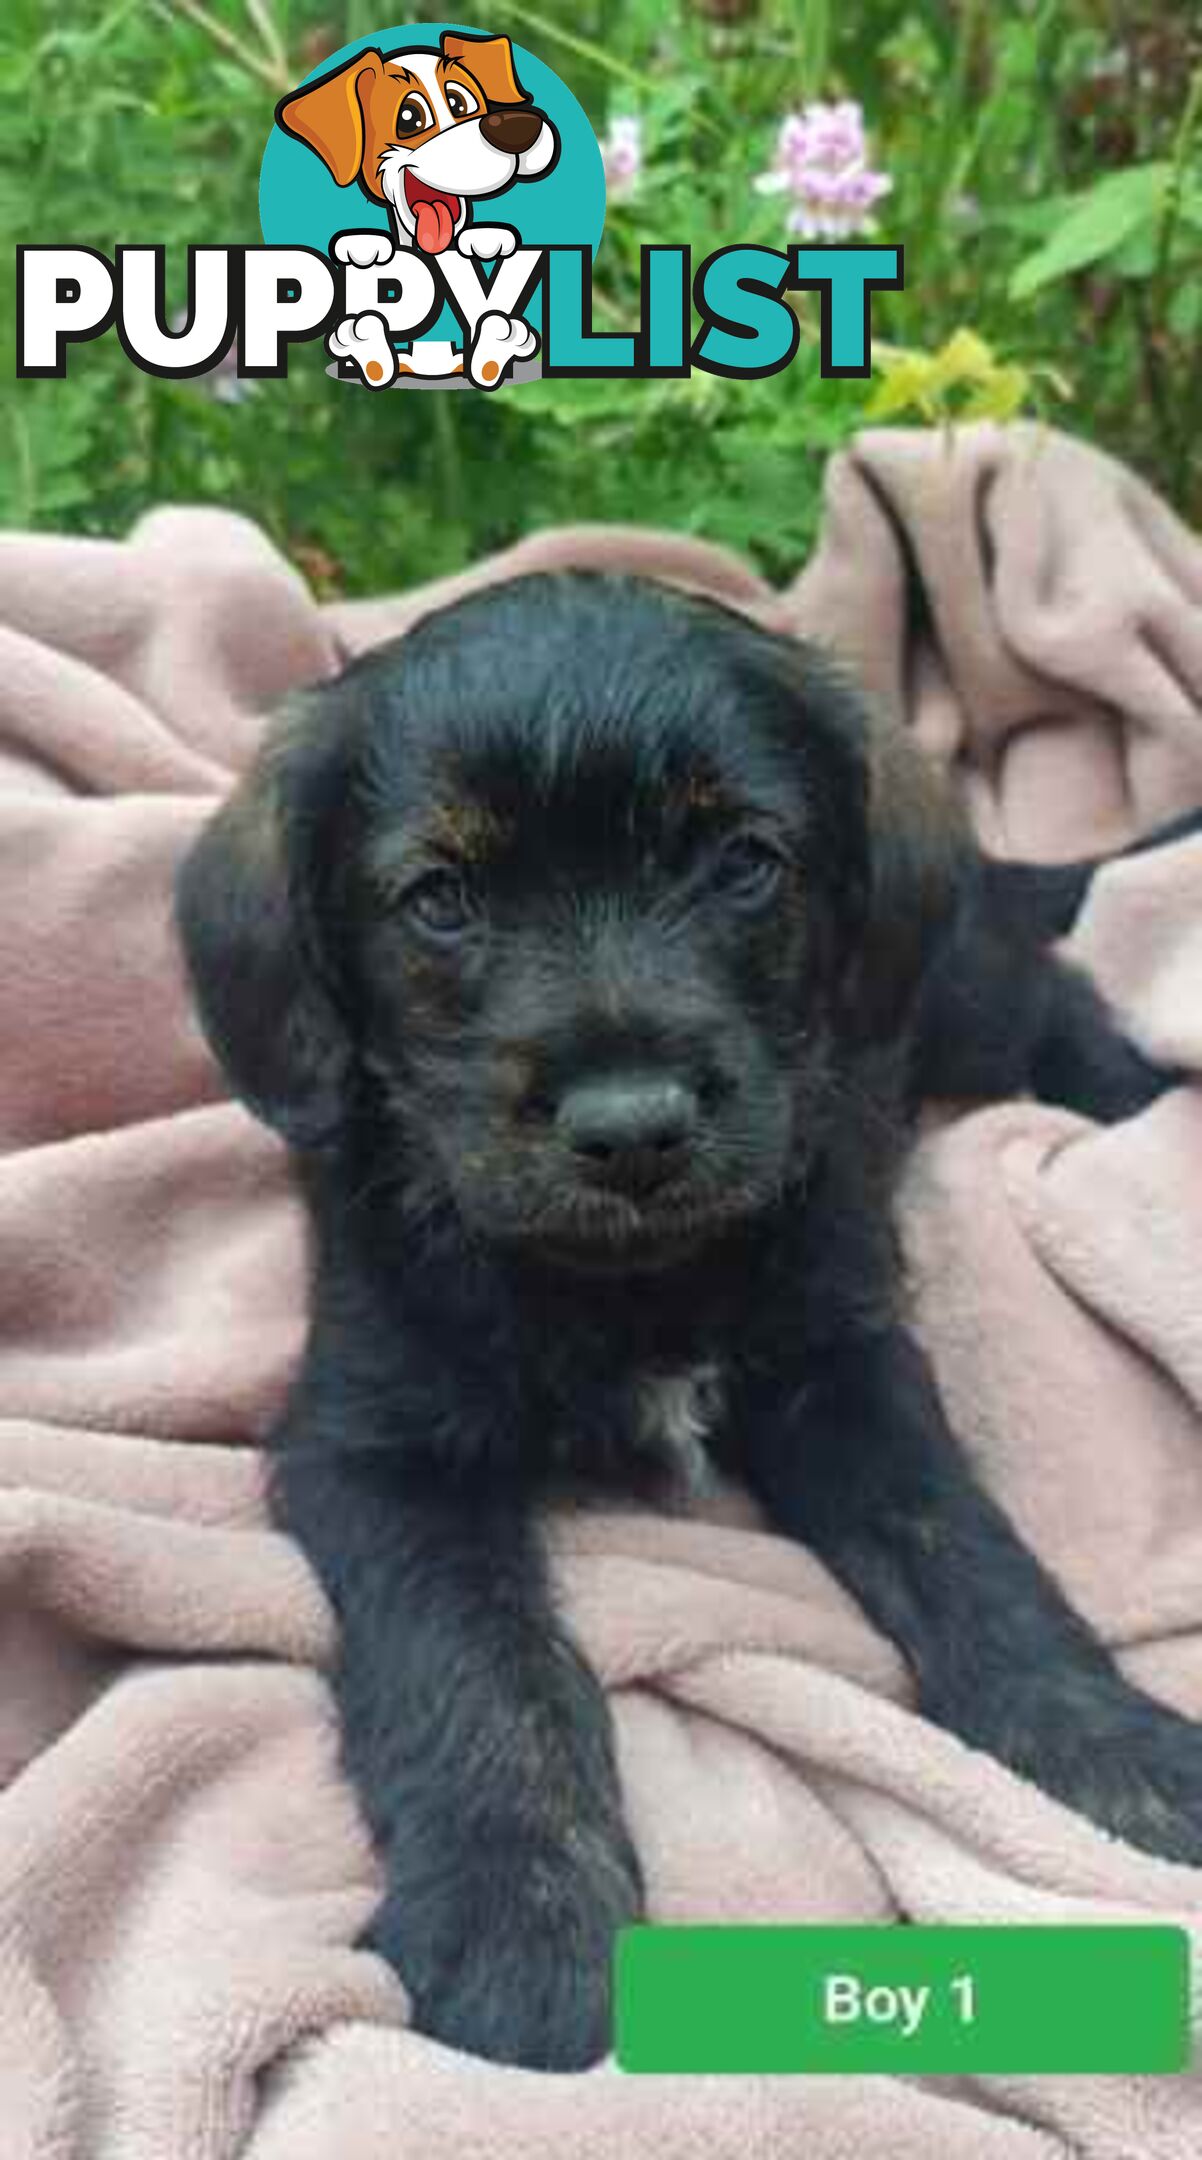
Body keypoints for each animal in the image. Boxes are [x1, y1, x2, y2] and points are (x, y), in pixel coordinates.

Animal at [178, 574, 1202, 2073]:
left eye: (741, 863)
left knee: (1048, 996)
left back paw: (1127, 1105)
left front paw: (1111, 1753)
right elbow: (472, 1658)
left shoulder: (844, 1361)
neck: (626, 1281)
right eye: (440, 899)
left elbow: (964, 1548)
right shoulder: (372, 1445)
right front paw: (517, 1907)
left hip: (951, 996)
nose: (630, 1127)